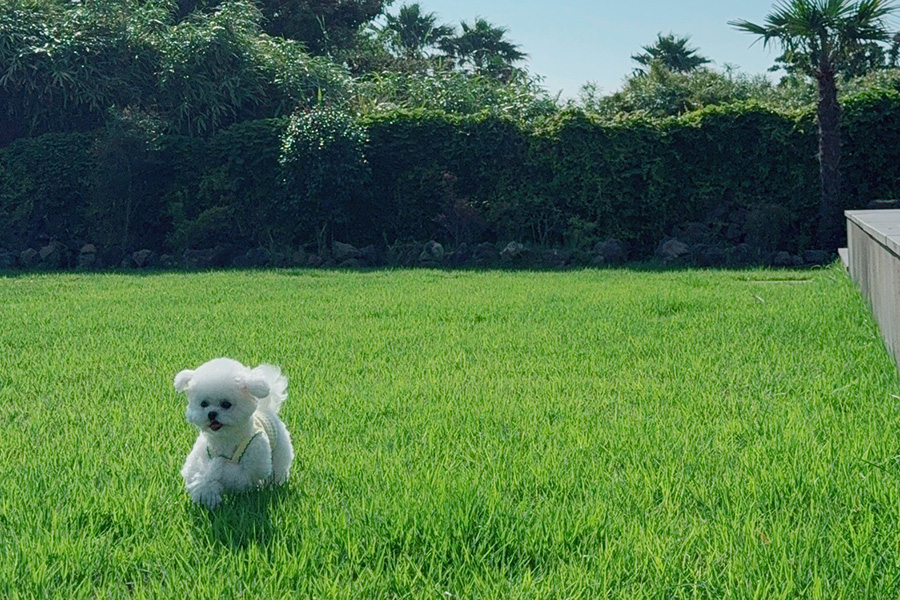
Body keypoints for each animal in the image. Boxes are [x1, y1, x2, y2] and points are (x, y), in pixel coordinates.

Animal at [175, 357, 294, 509]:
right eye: (203, 404)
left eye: (226, 404)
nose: (211, 414)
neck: (225, 439)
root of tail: (265, 408)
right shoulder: (201, 453)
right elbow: (197, 475)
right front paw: (207, 494)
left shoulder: (251, 466)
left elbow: (229, 473)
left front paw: (215, 469)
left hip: (280, 450)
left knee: (278, 470)